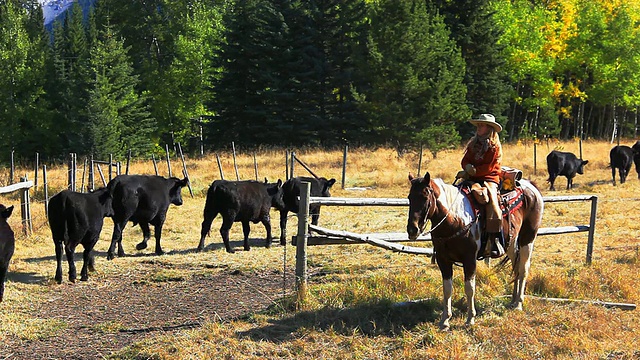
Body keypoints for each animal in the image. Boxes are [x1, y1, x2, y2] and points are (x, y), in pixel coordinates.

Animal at [408, 173, 544, 330]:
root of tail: (531, 185)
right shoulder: (443, 260)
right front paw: (445, 320)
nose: (412, 230)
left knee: (523, 269)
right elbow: (447, 289)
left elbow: (470, 288)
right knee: (516, 267)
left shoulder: (470, 260)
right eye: (409, 197)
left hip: (527, 239)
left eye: (425, 196)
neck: (455, 220)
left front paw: (470, 319)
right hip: (511, 242)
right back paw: (513, 301)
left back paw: (518, 304)